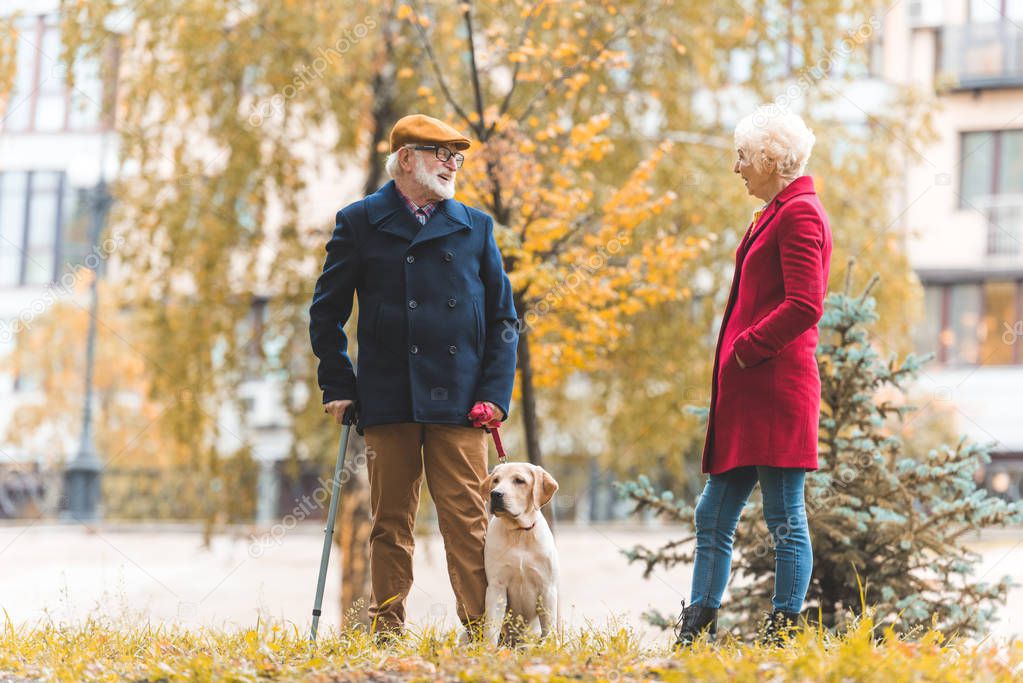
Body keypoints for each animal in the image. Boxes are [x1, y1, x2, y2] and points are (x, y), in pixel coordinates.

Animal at [478, 458, 560, 646]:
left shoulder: (547, 587)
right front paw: (487, 649)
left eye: (519, 481)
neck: (519, 533)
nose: (495, 494)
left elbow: (549, 626)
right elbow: (491, 628)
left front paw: (551, 647)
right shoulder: (496, 586)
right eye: (495, 480)